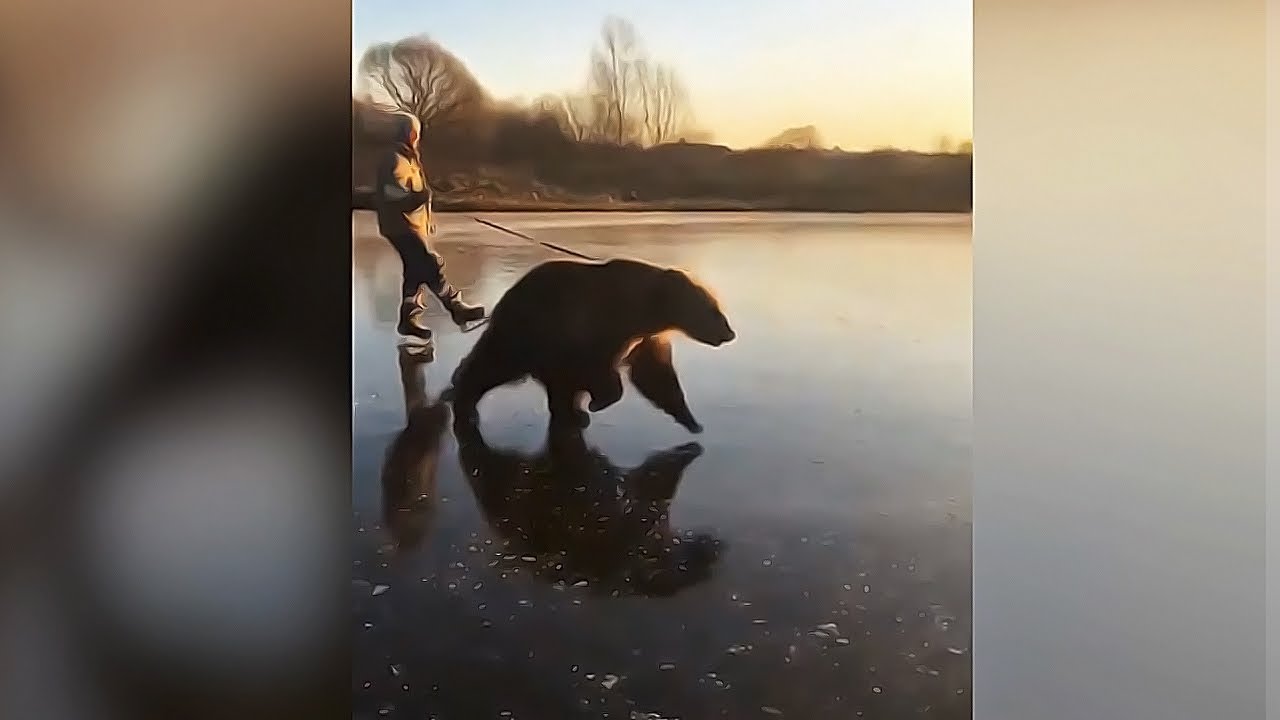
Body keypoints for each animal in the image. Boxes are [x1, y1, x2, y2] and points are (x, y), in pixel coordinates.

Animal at [448, 254, 732, 427]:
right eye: (712, 308)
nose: (729, 333)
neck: (643, 309)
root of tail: (506, 297)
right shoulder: (594, 330)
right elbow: (599, 370)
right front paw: (598, 401)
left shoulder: (644, 336)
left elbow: (654, 371)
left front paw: (689, 420)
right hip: (525, 331)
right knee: (495, 364)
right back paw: (465, 403)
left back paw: (573, 414)